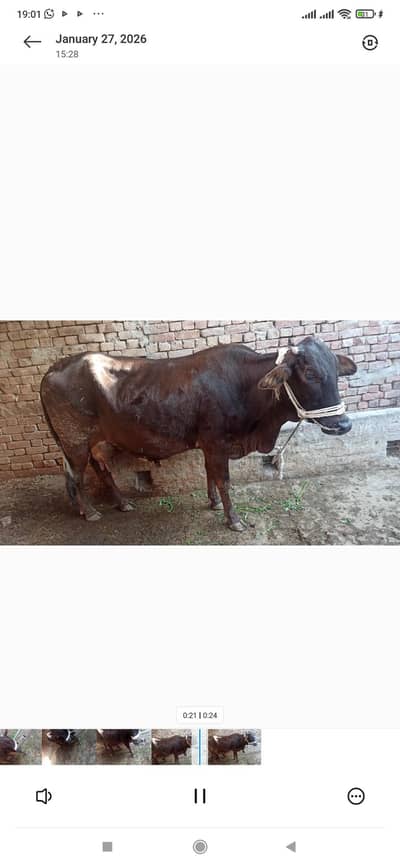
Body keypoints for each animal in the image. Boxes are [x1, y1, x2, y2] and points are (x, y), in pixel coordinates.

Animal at [40, 336, 357, 531]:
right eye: (310, 373)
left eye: (336, 371)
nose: (344, 424)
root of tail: (54, 368)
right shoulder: (217, 443)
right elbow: (224, 480)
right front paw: (234, 519)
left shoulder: (209, 444)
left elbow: (210, 474)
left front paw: (213, 503)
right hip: (75, 442)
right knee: (76, 476)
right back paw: (91, 511)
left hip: (95, 442)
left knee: (101, 470)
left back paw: (122, 503)